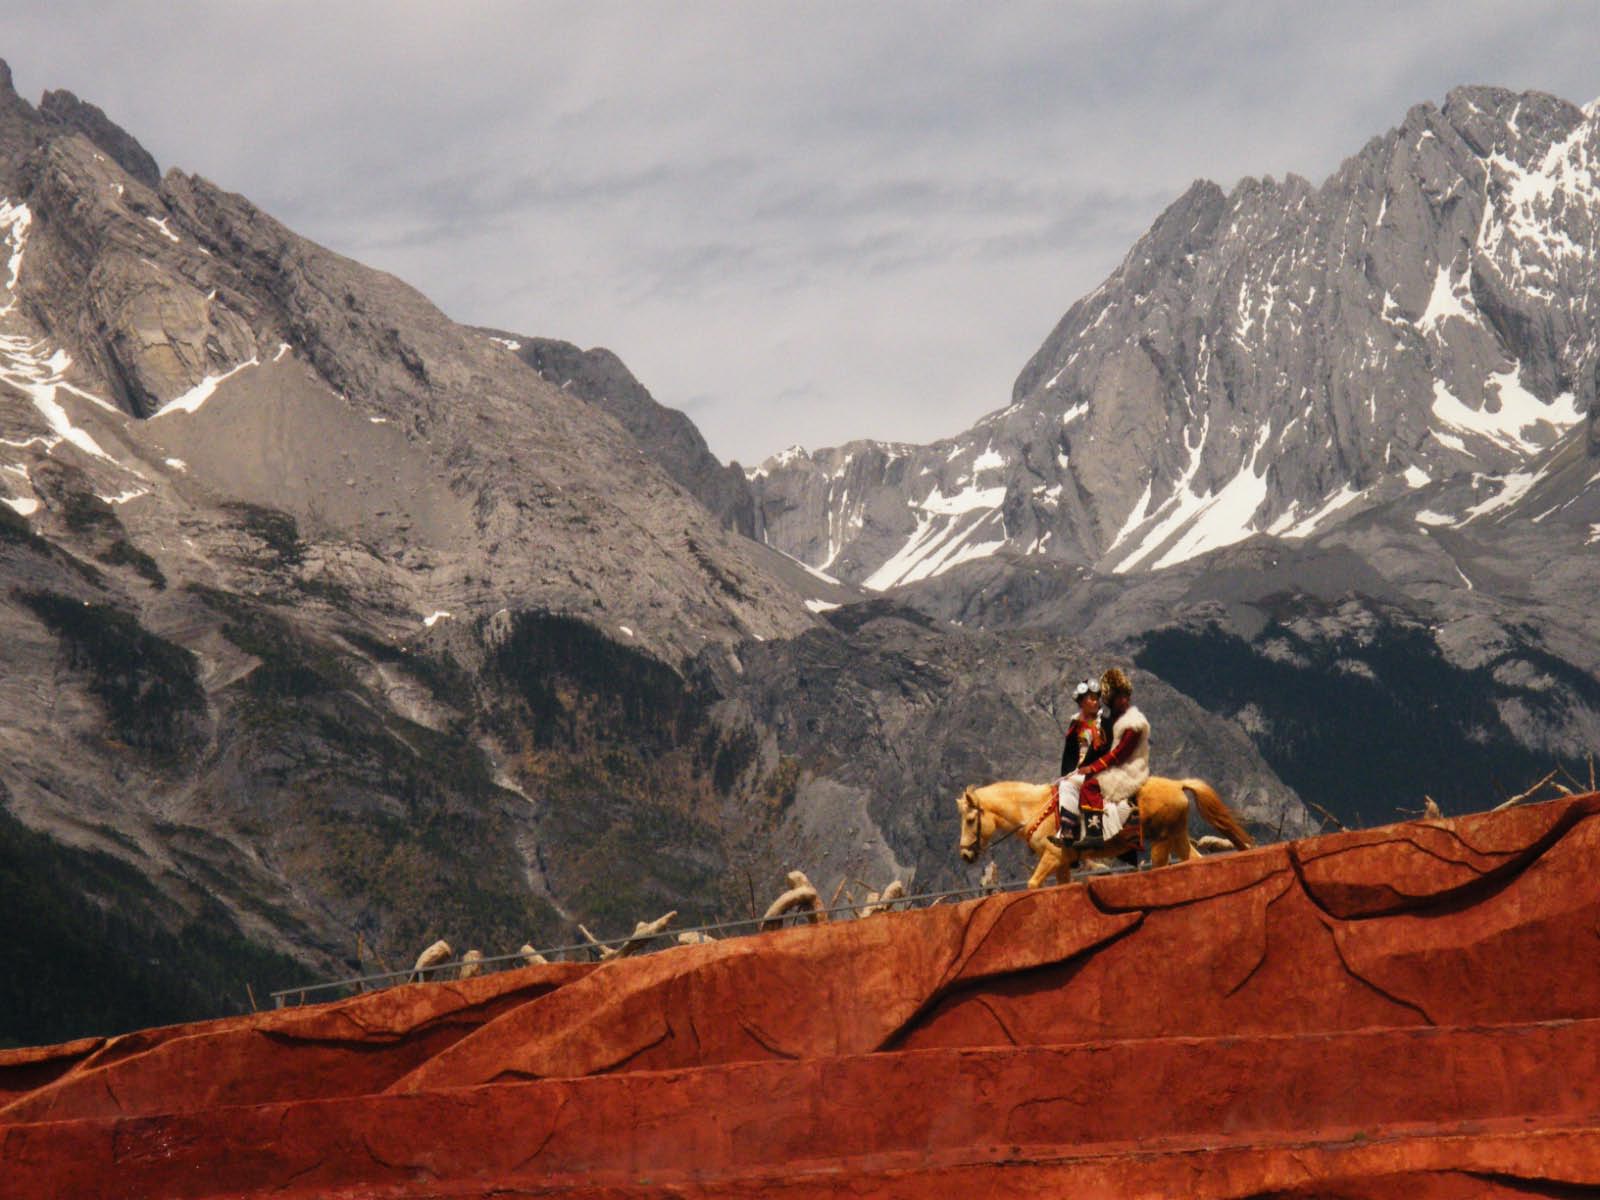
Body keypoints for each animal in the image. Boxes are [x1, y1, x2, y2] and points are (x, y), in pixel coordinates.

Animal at [956, 776, 1254, 888]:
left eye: (971, 820)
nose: (965, 855)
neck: (1034, 809)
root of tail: (1178, 785)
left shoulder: (1052, 856)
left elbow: (1032, 884)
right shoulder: (1062, 864)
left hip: (1163, 840)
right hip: (1176, 838)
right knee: (1195, 861)